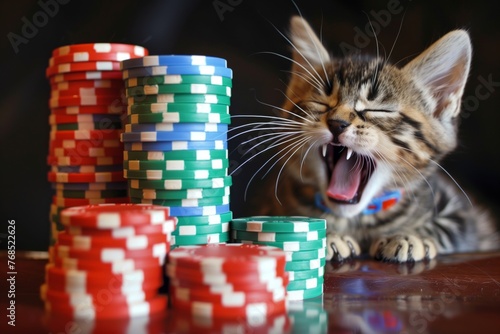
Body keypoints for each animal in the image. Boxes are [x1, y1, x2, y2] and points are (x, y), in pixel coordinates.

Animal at [252, 16, 498, 264]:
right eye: (322, 104)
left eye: (377, 109)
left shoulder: (463, 216)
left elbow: (447, 228)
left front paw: (410, 236)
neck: (355, 218)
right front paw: (329, 236)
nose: (337, 123)